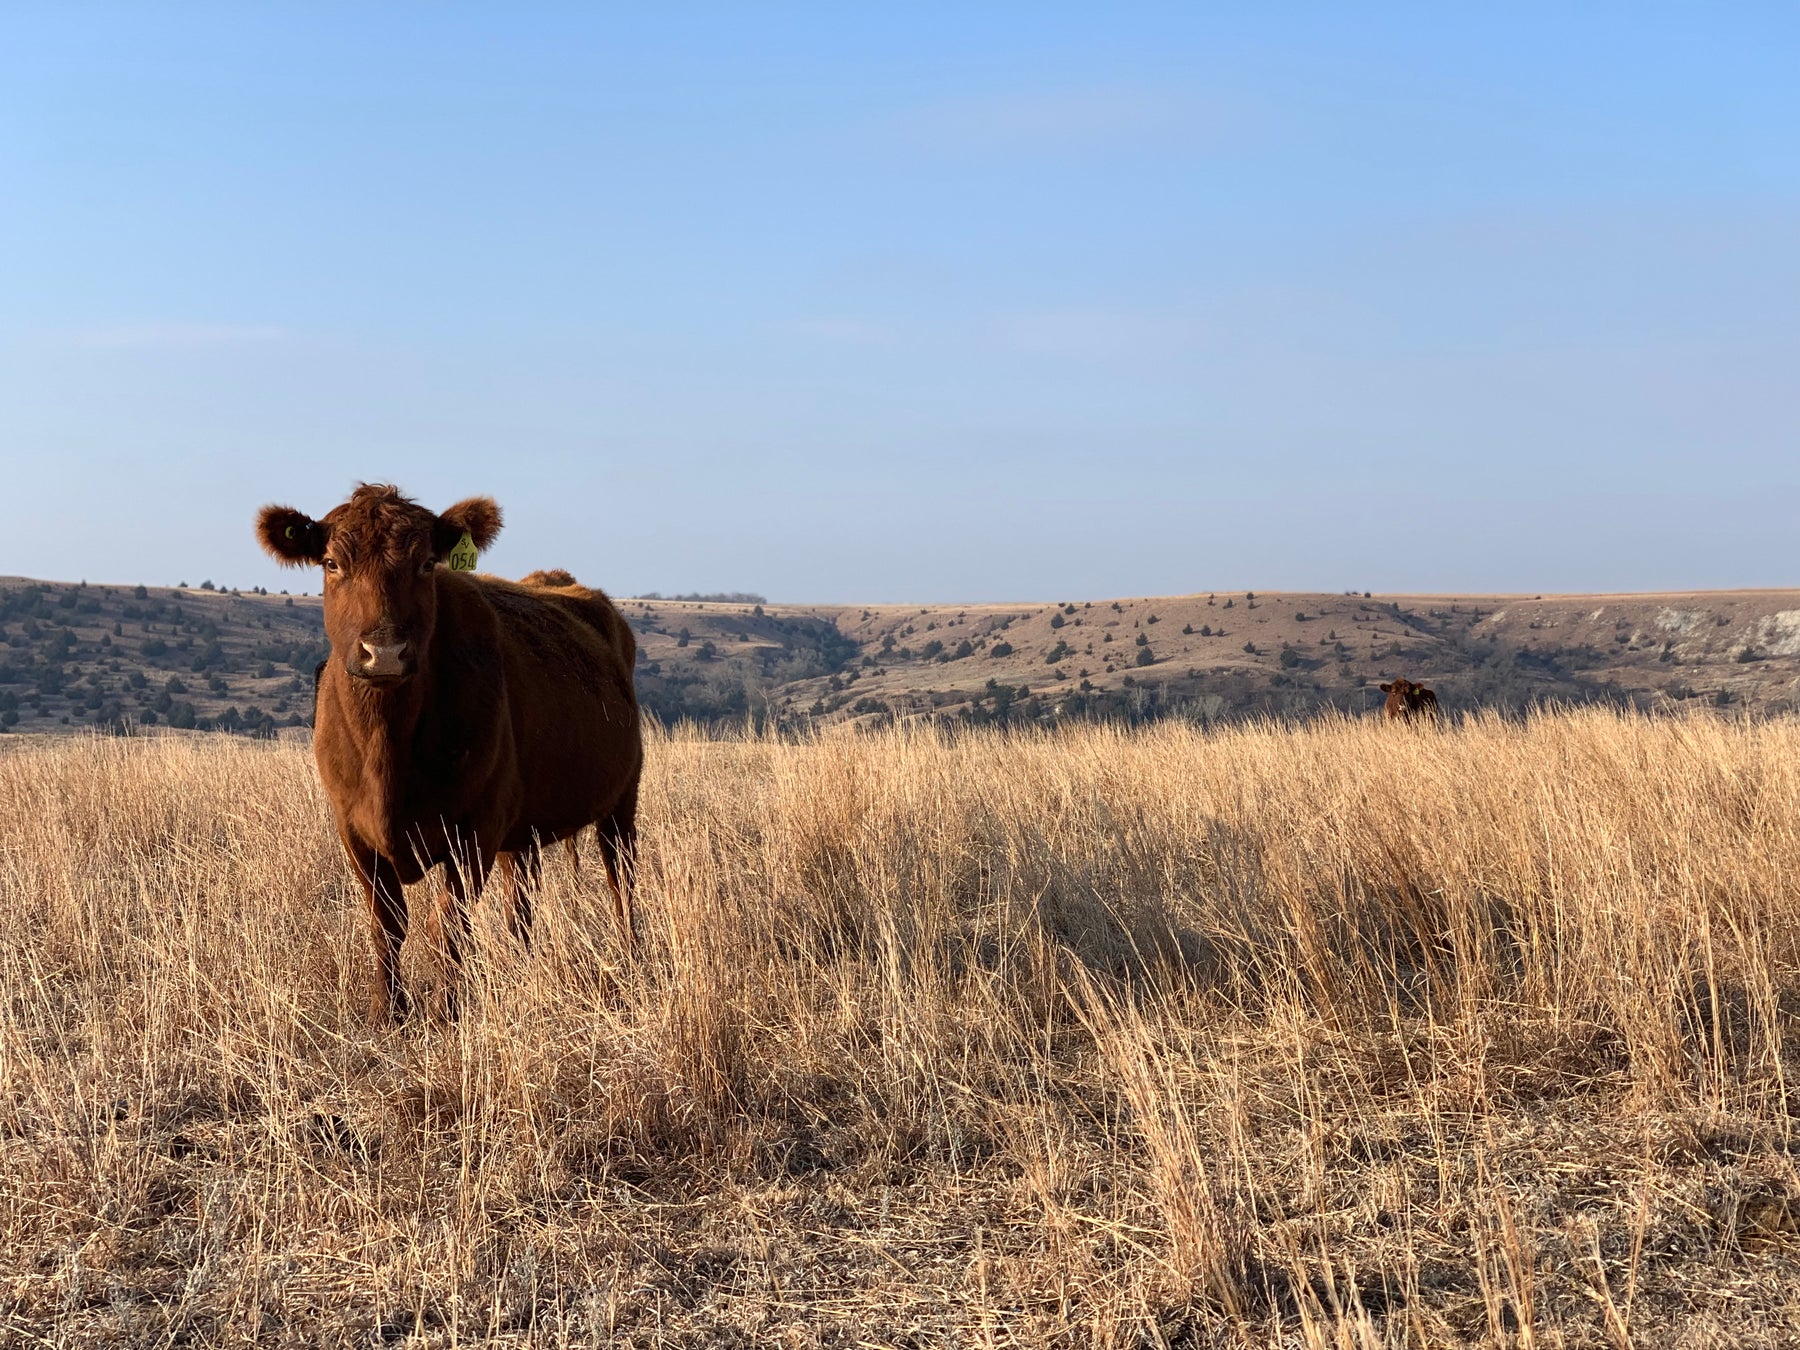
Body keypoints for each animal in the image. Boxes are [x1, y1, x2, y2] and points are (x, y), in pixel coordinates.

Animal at [257, 484, 642, 1021]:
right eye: (331, 563)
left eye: (426, 563)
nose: (385, 652)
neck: (387, 750)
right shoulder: (353, 830)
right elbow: (387, 924)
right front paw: (388, 1013)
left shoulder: (473, 829)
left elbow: (449, 927)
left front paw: (448, 1012)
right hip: (522, 831)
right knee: (522, 900)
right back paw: (522, 966)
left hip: (621, 800)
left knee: (620, 882)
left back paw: (634, 962)